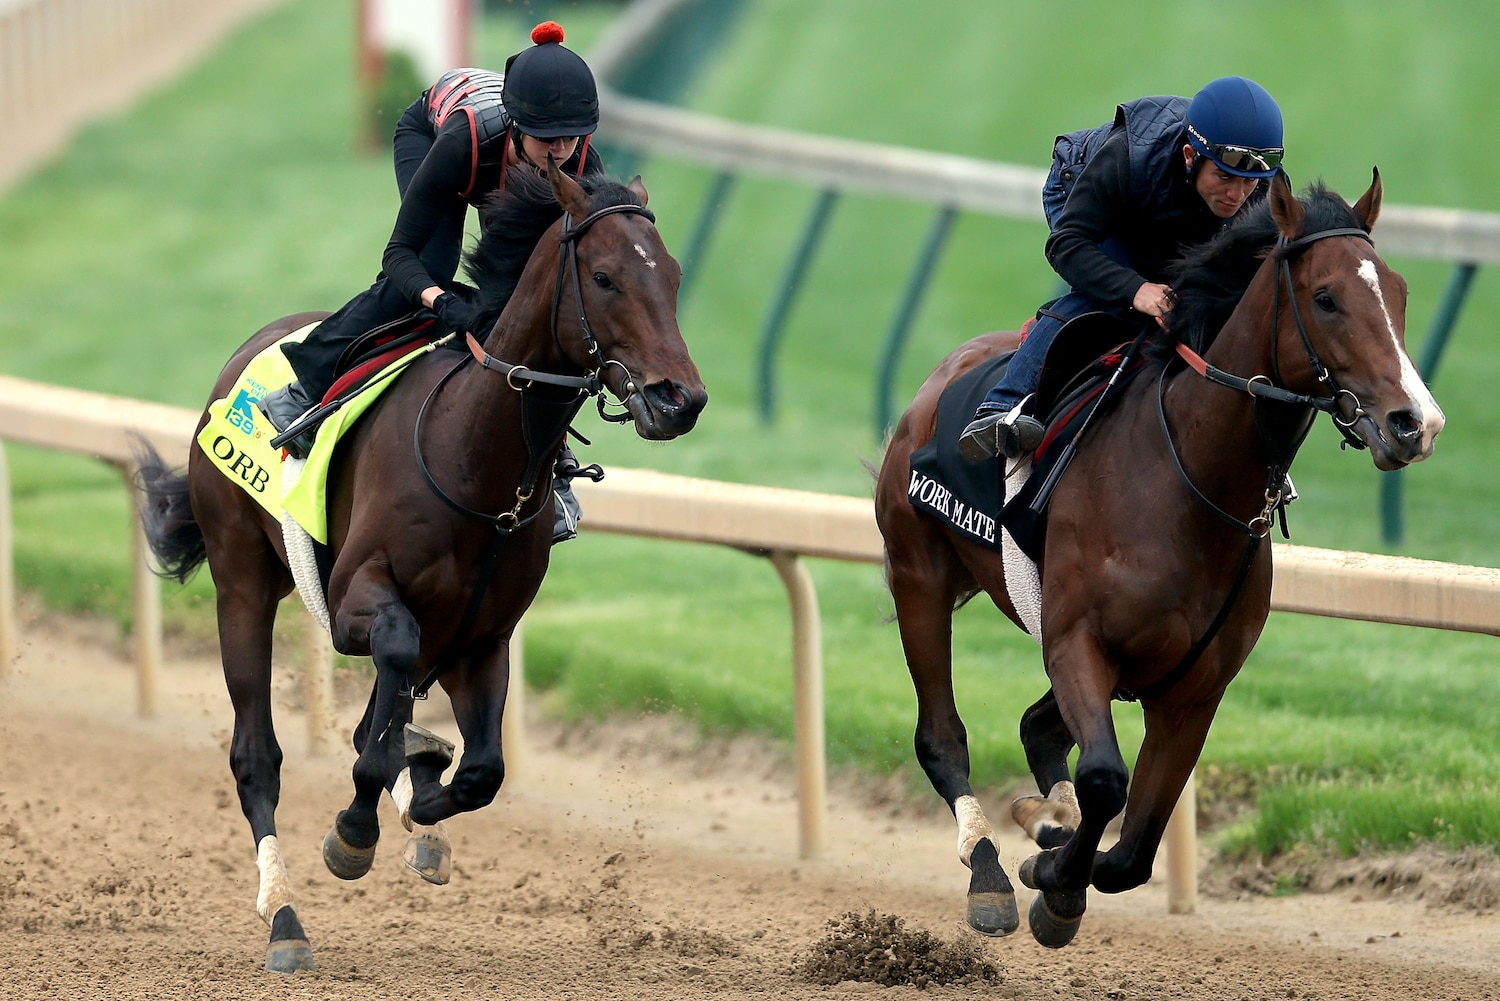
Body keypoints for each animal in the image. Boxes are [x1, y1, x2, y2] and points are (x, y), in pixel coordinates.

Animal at [133, 160, 708, 972]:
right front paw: (354, 832)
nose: (680, 399)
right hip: (240, 579)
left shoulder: (482, 639)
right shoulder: (354, 604)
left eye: (674, 275)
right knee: (256, 755)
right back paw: (285, 919)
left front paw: (422, 792)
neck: (475, 458)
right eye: (603, 277)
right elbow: (385, 705)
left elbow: (481, 770)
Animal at [873, 170, 1442, 948]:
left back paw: (1043, 820)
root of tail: (938, 380)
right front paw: (1052, 884)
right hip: (919, 575)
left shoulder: (1194, 687)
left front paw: (1057, 860)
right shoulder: (1076, 642)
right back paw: (988, 870)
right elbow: (1105, 779)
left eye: (1401, 292)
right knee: (942, 737)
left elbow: (1133, 851)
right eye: (1326, 298)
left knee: (1036, 728)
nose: (1415, 423)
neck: (1190, 480)